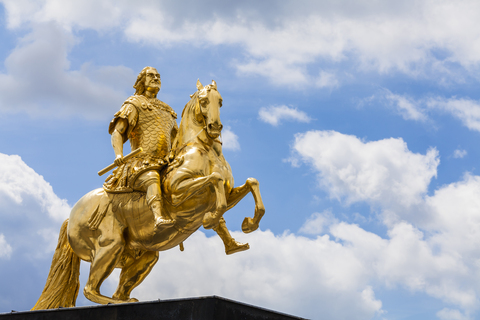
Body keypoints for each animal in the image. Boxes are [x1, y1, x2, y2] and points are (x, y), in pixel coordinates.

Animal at [32, 80, 266, 310]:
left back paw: (125, 300)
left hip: (143, 255)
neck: (201, 150)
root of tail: (71, 217)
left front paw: (248, 224)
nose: (215, 128)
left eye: (221, 101)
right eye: (203, 101)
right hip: (110, 246)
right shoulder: (179, 193)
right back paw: (113, 301)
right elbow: (215, 180)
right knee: (90, 289)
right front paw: (210, 219)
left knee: (119, 288)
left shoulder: (228, 193)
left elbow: (251, 182)